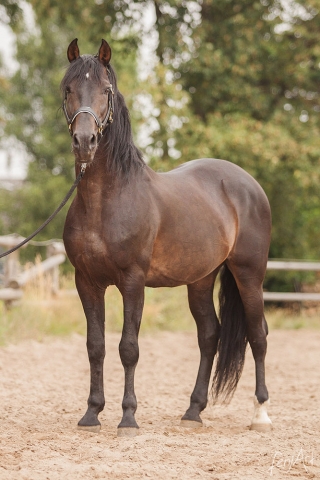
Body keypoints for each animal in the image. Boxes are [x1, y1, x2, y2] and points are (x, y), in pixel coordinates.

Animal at [61, 39, 272, 436]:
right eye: (68, 89)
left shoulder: (133, 282)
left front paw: (128, 417)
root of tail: (248, 184)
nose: (85, 141)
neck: (105, 201)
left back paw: (261, 413)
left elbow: (128, 347)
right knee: (210, 335)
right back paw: (193, 410)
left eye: (106, 91)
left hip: (249, 274)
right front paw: (92, 414)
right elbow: (95, 346)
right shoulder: (87, 282)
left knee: (258, 335)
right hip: (201, 279)